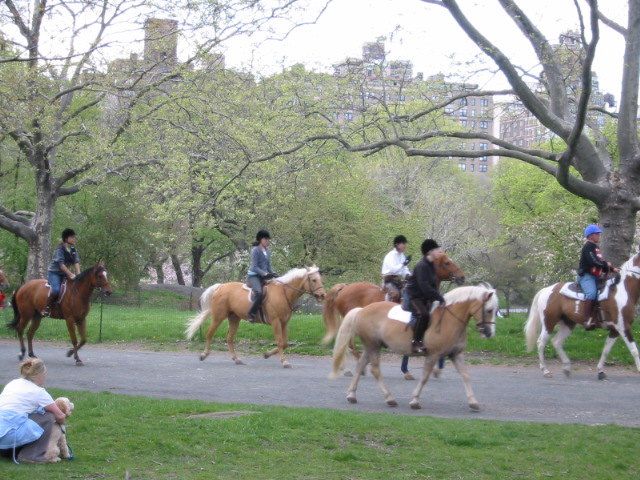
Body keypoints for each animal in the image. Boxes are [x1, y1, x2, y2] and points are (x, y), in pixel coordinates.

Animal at [185, 264, 324, 370]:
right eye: (313, 280)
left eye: (320, 279)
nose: (322, 295)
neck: (283, 292)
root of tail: (221, 286)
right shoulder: (276, 322)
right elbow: (280, 342)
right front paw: (284, 362)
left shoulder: (284, 323)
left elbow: (284, 343)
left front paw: (267, 354)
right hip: (219, 316)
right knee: (209, 332)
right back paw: (204, 354)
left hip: (234, 318)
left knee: (229, 338)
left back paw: (237, 359)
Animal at [330, 284, 500, 410]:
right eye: (489, 310)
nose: (489, 333)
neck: (449, 319)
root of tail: (362, 310)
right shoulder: (433, 355)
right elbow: (425, 377)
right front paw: (415, 401)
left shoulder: (456, 354)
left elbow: (465, 375)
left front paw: (473, 402)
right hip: (373, 346)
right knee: (375, 370)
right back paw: (389, 398)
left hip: (372, 346)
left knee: (360, 366)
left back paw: (352, 395)